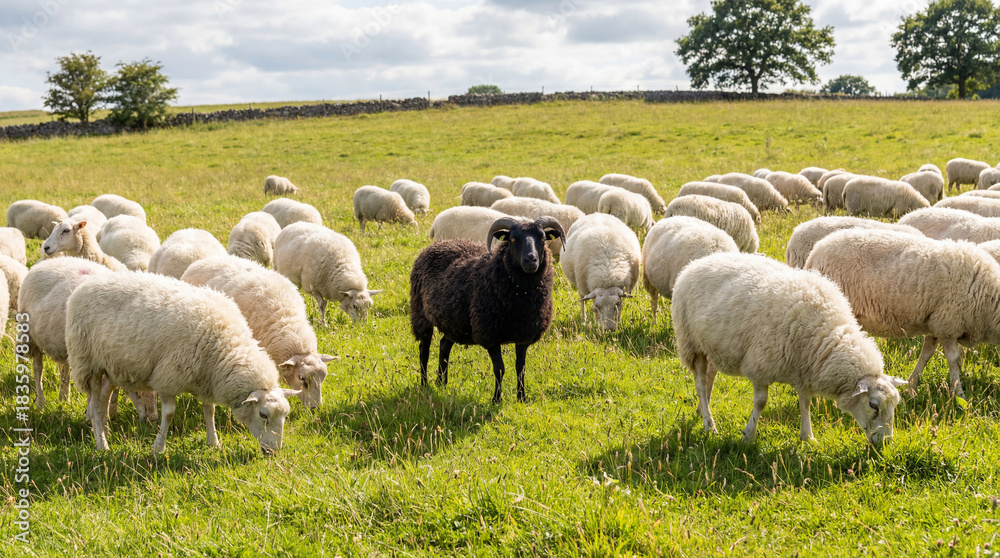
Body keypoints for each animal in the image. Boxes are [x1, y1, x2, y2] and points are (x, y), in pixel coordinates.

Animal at [17, 258, 156, 419]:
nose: (152, 419)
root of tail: (51, 260)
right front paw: (93, 413)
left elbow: (113, 388)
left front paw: (112, 411)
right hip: (30, 336)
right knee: (38, 368)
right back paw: (41, 403)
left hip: (69, 346)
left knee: (65, 369)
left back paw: (64, 397)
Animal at [67, 272, 298, 453]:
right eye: (263, 414)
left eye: (285, 415)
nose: (274, 451)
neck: (225, 345)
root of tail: (85, 286)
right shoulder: (168, 377)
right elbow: (169, 414)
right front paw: (158, 448)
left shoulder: (206, 378)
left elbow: (209, 410)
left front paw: (213, 442)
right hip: (87, 362)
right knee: (94, 403)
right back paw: (101, 444)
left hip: (110, 365)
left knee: (104, 396)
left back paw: (106, 430)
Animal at [410, 216, 564, 403]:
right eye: (513, 239)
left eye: (542, 238)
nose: (530, 260)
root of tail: (436, 245)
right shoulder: (490, 335)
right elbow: (500, 369)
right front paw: (496, 399)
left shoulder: (524, 335)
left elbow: (520, 368)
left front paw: (521, 398)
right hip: (421, 314)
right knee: (423, 351)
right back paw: (424, 385)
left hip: (453, 321)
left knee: (444, 346)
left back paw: (442, 383)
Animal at [672, 252, 906, 444]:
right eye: (874, 405)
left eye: (895, 404)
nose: (886, 443)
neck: (824, 335)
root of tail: (697, 262)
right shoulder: (760, 367)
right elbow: (761, 403)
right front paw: (748, 435)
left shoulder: (803, 369)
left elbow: (806, 402)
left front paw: (808, 437)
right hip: (691, 343)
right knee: (700, 383)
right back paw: (708, 424)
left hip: (714, 346)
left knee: (710, 376)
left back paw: (702, 409)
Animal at [805, 228, 1000, 398]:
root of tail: (814, 253)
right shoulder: (949, 325)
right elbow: (954, 360)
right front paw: (959, 394)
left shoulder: (935, 325)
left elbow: (926, 354)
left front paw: (912, 386)